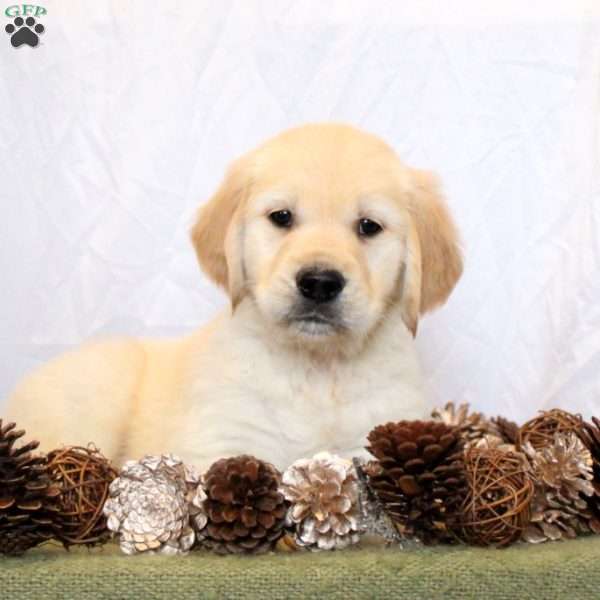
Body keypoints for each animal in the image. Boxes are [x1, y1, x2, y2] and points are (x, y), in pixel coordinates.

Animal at [4, 123, 462, 468]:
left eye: (369, 226)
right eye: (281, 217)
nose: (318, 283)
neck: (314, 369)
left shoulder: (376, 435)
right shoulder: (224, 441)